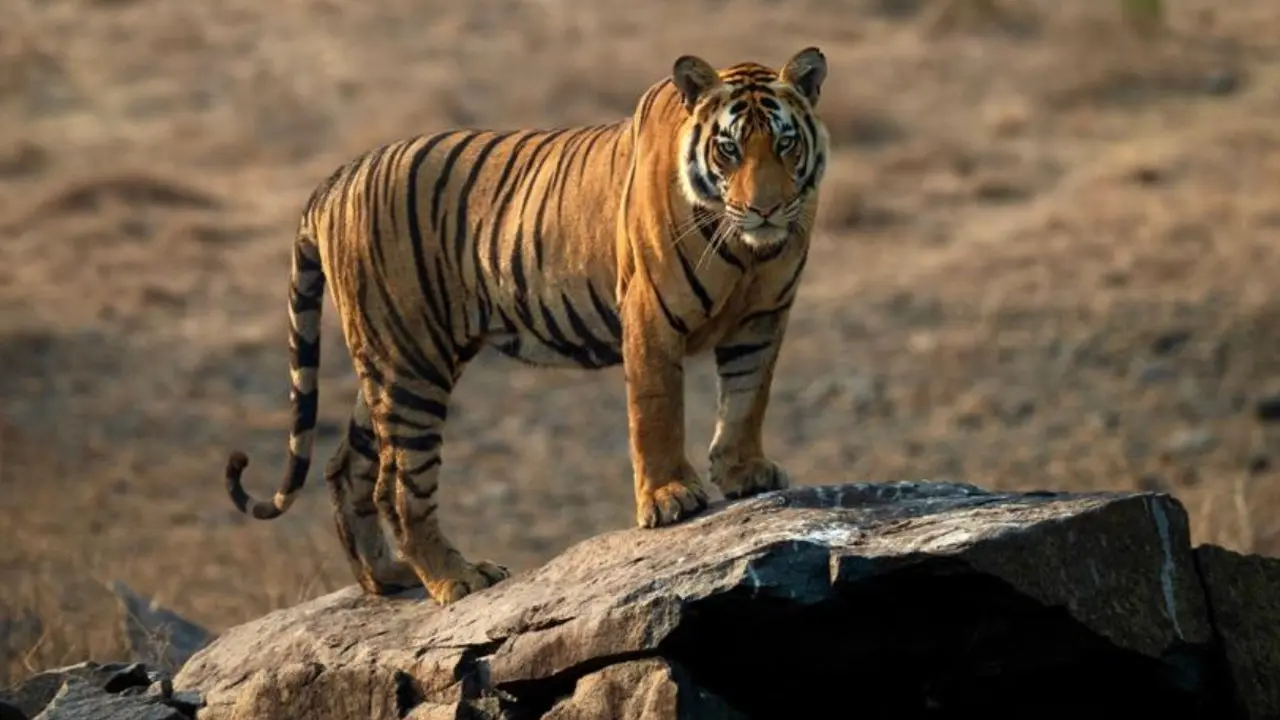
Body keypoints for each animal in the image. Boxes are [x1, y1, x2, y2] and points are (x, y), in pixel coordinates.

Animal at [224, 47, 831, 606]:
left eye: (785, 143)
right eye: (728, 148)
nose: (766, 210)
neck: (748, 251)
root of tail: (338, 177)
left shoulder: (762, 317)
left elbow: (748, 398)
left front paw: (744, 471)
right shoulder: (649, 315)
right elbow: (656, 413)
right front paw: (669, 498)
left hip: (392, 360)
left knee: (345, 466)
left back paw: (388, 578)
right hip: (411, 363)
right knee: (397, 485)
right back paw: (458, 578)